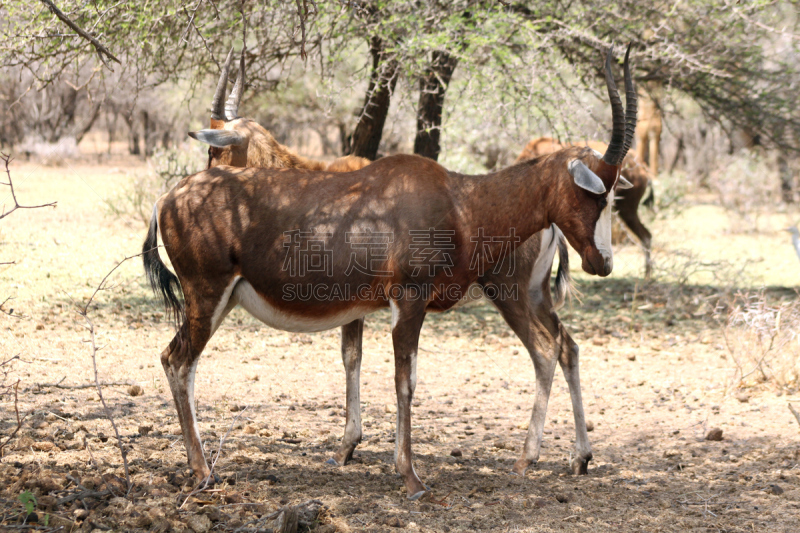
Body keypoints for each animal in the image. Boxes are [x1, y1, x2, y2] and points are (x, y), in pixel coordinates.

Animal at [145, 45, 636, 498]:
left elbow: (368, 364)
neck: (459, 197)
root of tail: (169, 197)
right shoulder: (407, 302)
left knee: (557, 348)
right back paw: (203, 473)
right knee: (177, 360)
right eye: (595, 192)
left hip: (523, 295)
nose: (603, 263)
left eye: (612, 192)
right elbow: (404, 379)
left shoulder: (375, 307)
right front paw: (410, 477)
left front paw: (360, 455)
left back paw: (567, 458)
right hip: (208, 297)